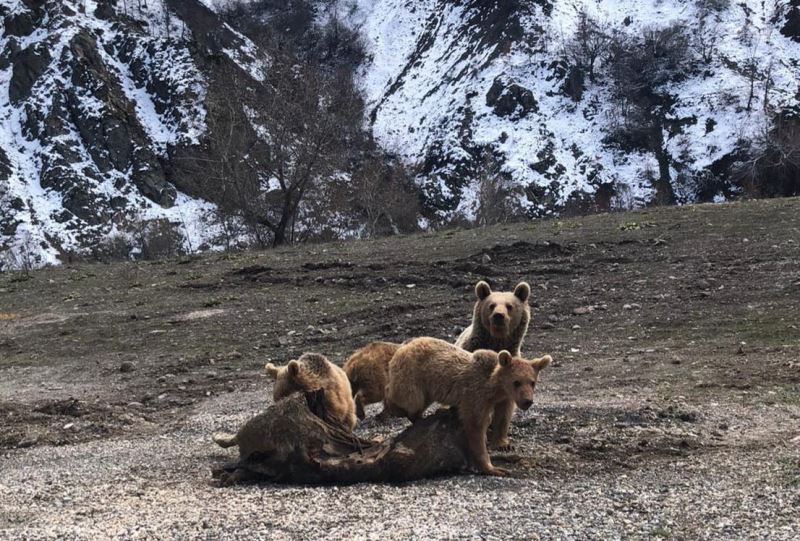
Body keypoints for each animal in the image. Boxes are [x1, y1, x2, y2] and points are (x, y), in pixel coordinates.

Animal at [382, 338, 552, 476]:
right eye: (516, 382)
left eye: (532, 382)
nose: (527, 401)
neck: (495, 388)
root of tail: (405, 345)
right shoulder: (476, 395)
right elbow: (476, 425)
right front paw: (493, 467)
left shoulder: (505, 399)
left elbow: (503, 417)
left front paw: (504, 444)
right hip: (414, 375)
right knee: (409, 398)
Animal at [454, 280, 536, 450]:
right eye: (491, 305)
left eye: (509, 306)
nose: (499, 316)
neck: (496, 342)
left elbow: (504, 409)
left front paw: (503, 443)